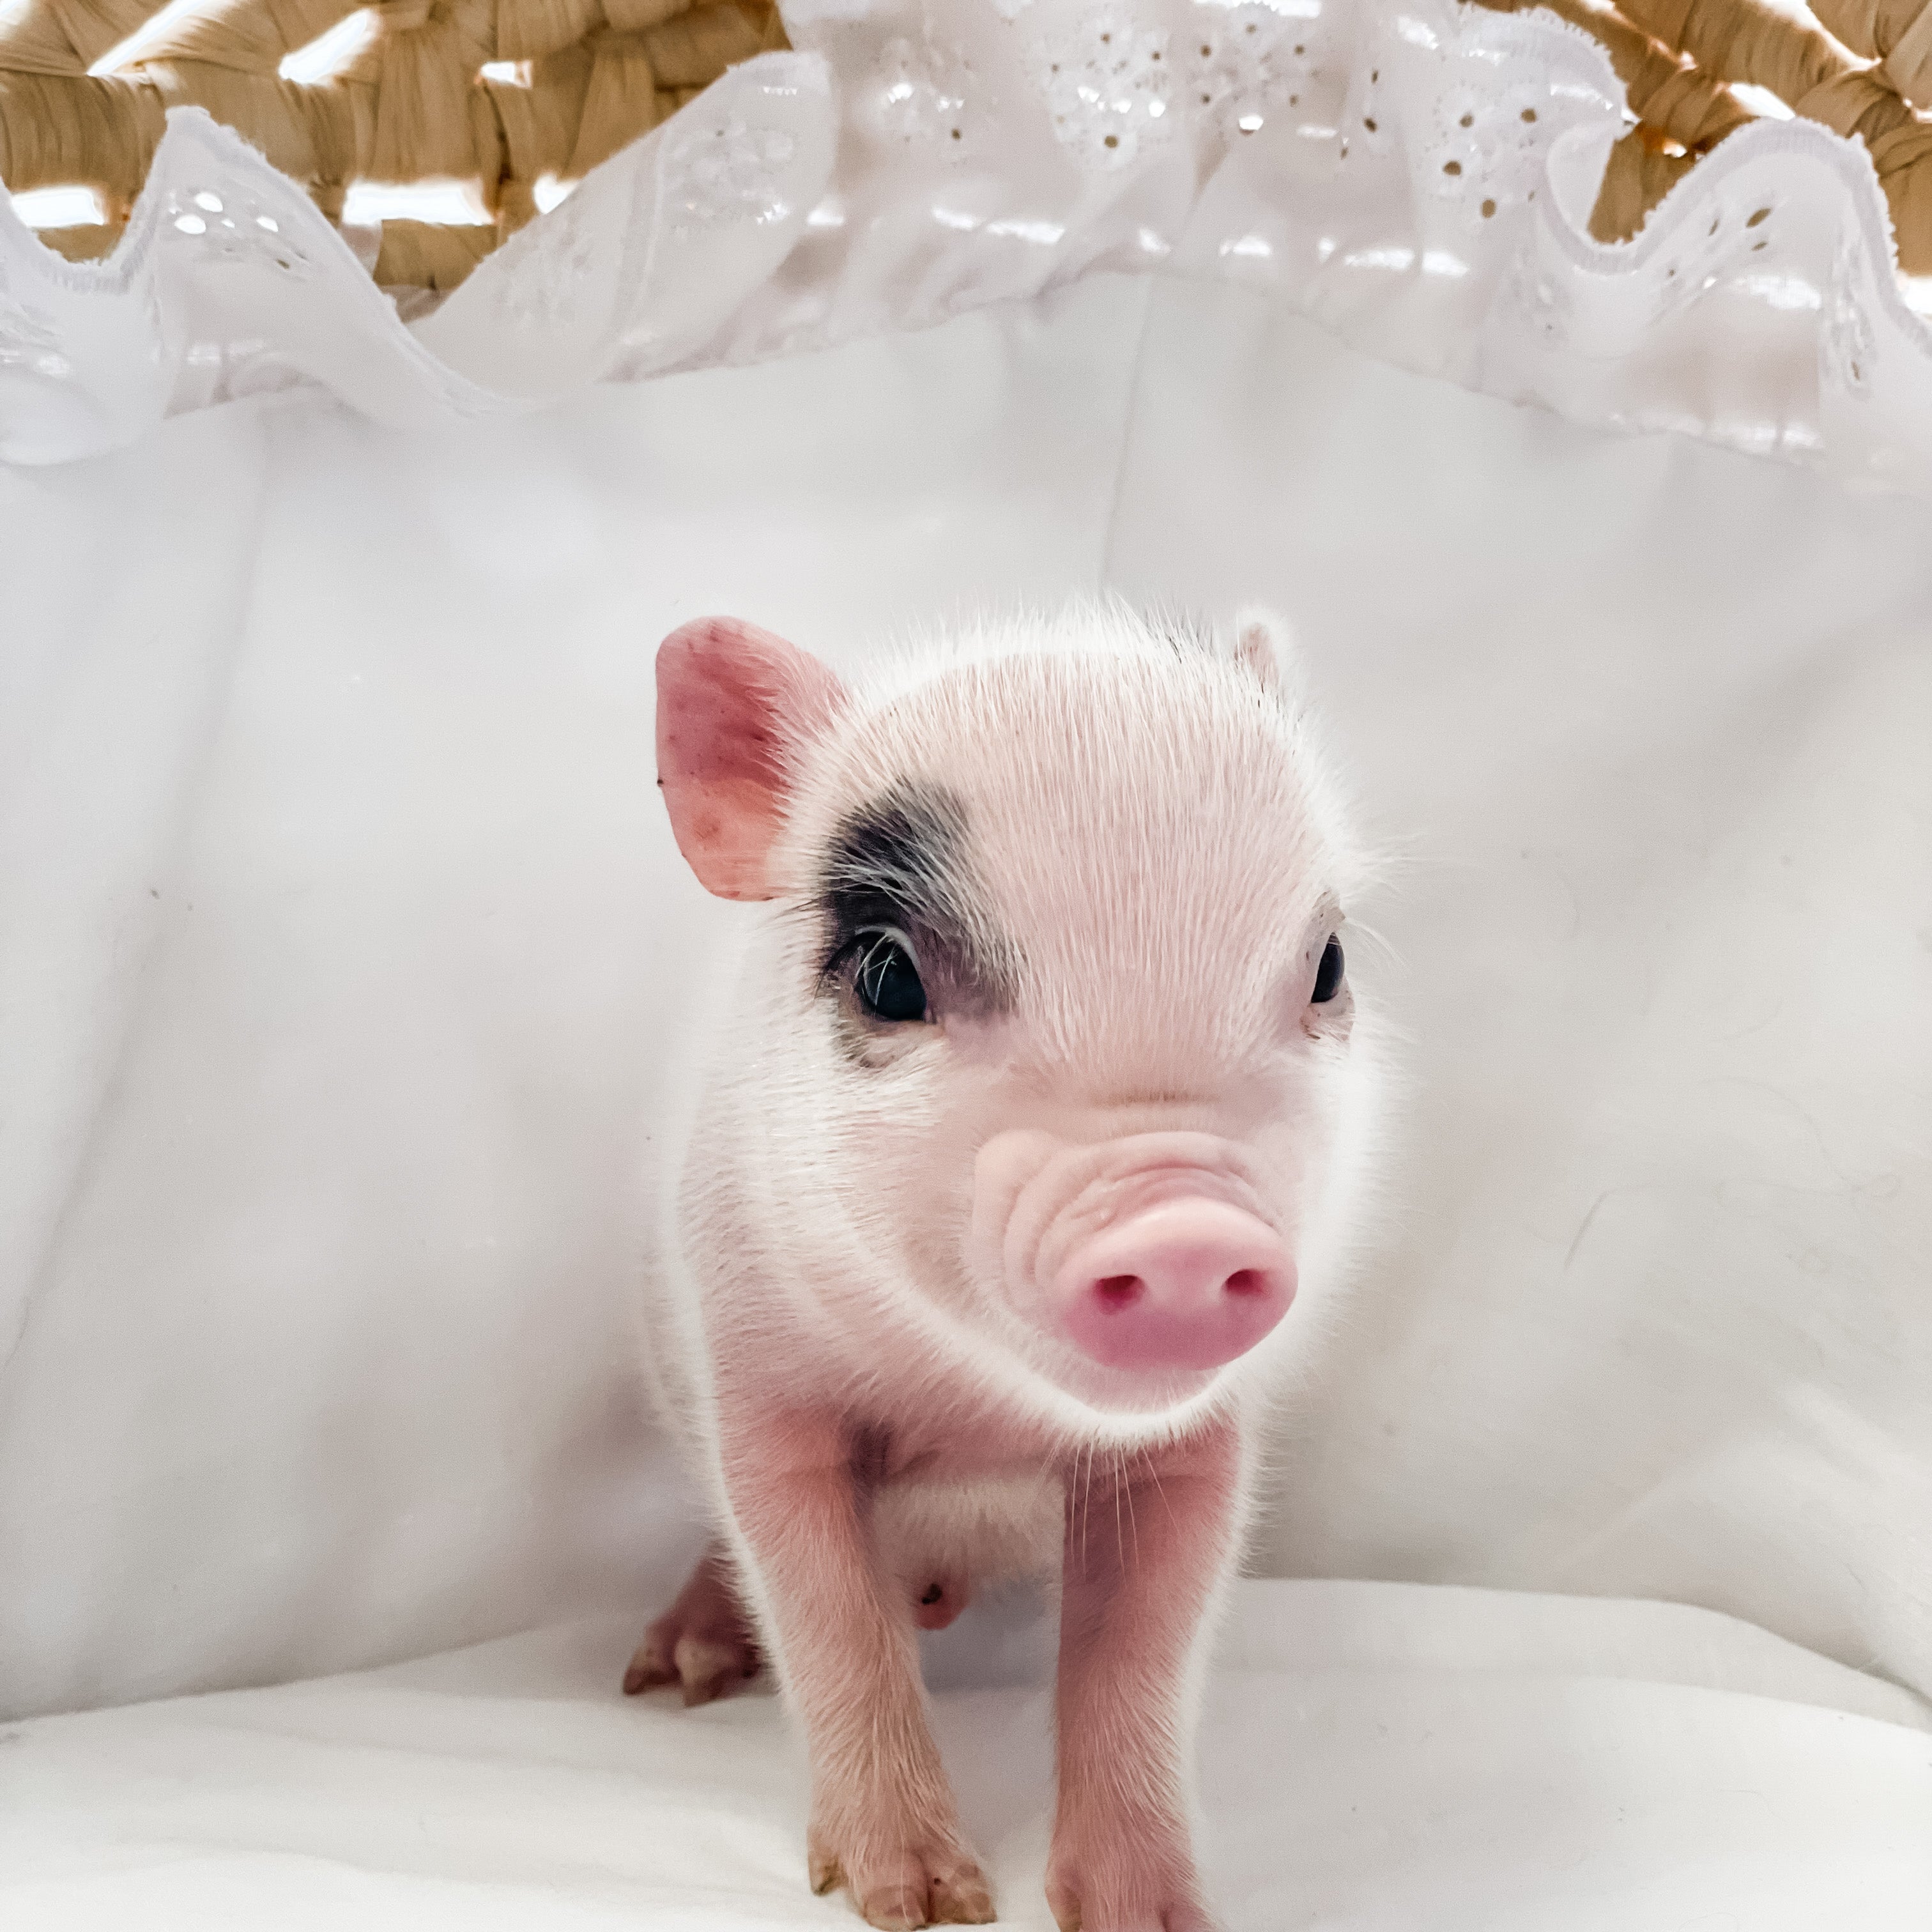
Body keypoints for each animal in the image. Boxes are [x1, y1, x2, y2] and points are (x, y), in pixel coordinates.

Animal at [624, 602, 1379, 1931]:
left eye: (1327, 964)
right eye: (887, 973)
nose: (1184, 1229)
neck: (973, 1411)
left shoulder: (1194, 1446)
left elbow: (1137, 1649)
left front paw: (1147, 1913)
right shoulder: (753, 1368)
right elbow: (822, 1606)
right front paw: (919, 1902)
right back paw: (669, 1674)